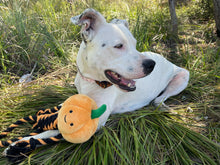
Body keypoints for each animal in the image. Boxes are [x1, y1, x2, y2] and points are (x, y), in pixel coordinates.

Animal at [3, 8, 189, 153]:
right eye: (119, 46)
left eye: (135, 44)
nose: (151, 65)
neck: (90, 80)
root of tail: (165, 59)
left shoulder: (94, 122)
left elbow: (57, 132)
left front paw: (21, 144)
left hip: (183, 76)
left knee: (160, 98)